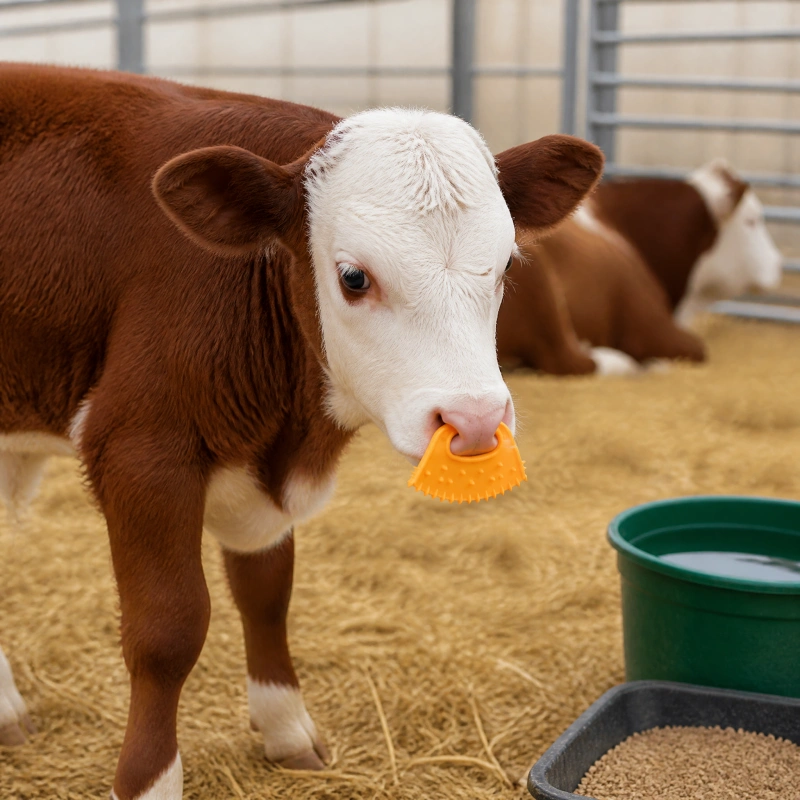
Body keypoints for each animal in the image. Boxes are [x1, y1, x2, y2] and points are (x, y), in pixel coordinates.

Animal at [0, 63, 603, 799]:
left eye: (510, 265)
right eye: (353, 277)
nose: (475, 420)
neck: (288, 432)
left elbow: (267, 595)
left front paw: (286, 727)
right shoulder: (139, 449)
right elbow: (168, 630)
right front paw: (149, 780)